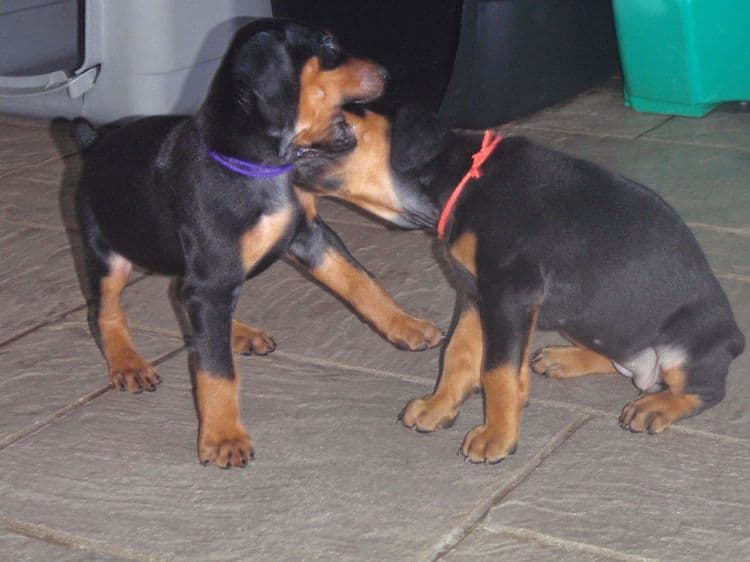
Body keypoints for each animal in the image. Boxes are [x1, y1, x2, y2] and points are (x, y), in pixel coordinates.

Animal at [72, 20, 444, 468]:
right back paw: (128, 364)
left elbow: (361, 281)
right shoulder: (212, 276)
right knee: (106, 312)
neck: (263, 166)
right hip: (108, 254)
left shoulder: (309, 236)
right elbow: (216, 370)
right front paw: (223, 438)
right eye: (328, 43)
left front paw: (407, 325)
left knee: (183, 301)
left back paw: (238, 332)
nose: (388, 73)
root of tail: (94, 142)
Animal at [294, 106, 748, 464]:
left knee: (704, 389)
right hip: (578, 318)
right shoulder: (476, 293)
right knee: (615, 355)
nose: (283, 138)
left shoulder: (509, 292)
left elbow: (496, 370)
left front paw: (497, 437)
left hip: (682, 344)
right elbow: (458, 354)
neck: (465, 180)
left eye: (343, 123)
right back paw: (566, 359)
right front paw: (439, 407)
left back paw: (655, 407)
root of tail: (734, 339)